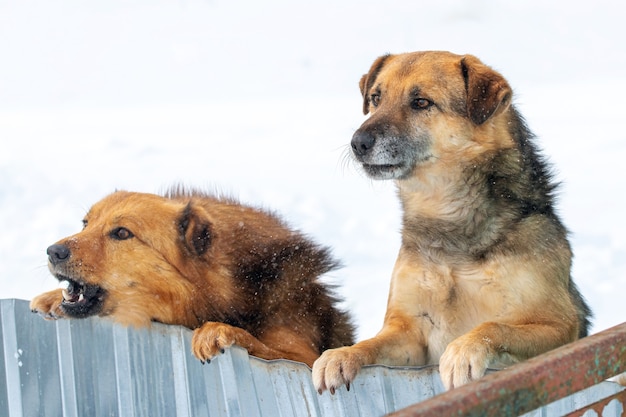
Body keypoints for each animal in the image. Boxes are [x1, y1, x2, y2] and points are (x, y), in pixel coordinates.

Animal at [31, 187, 354, 366]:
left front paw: (219, 331)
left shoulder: (304, 357)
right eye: (85, 224)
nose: (53, 251)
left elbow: (264, 345)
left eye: (122, 233)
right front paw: (51, 298)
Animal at [312, 51, 588, 390]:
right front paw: (342, 355)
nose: (358, 143)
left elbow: (494, 326)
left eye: (421, 102)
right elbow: (372, 343)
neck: (448, 221)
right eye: (376, 98)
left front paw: (463, 351)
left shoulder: (559, 324)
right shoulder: (410, 332)